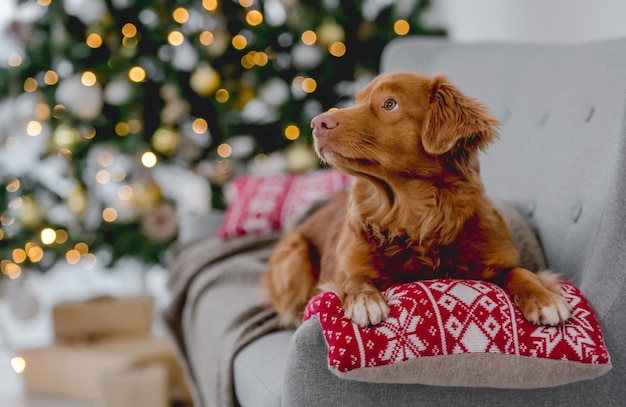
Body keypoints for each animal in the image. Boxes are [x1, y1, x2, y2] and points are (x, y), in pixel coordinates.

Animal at [260, 71, 568, 330]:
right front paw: (365, 300)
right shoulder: (345, 264)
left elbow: (520, 272)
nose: (317, 123)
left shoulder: (496, 258)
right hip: (294, 255)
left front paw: (545, 298)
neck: (412, 217)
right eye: (357, 101)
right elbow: (351, 278)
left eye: (389, 104)